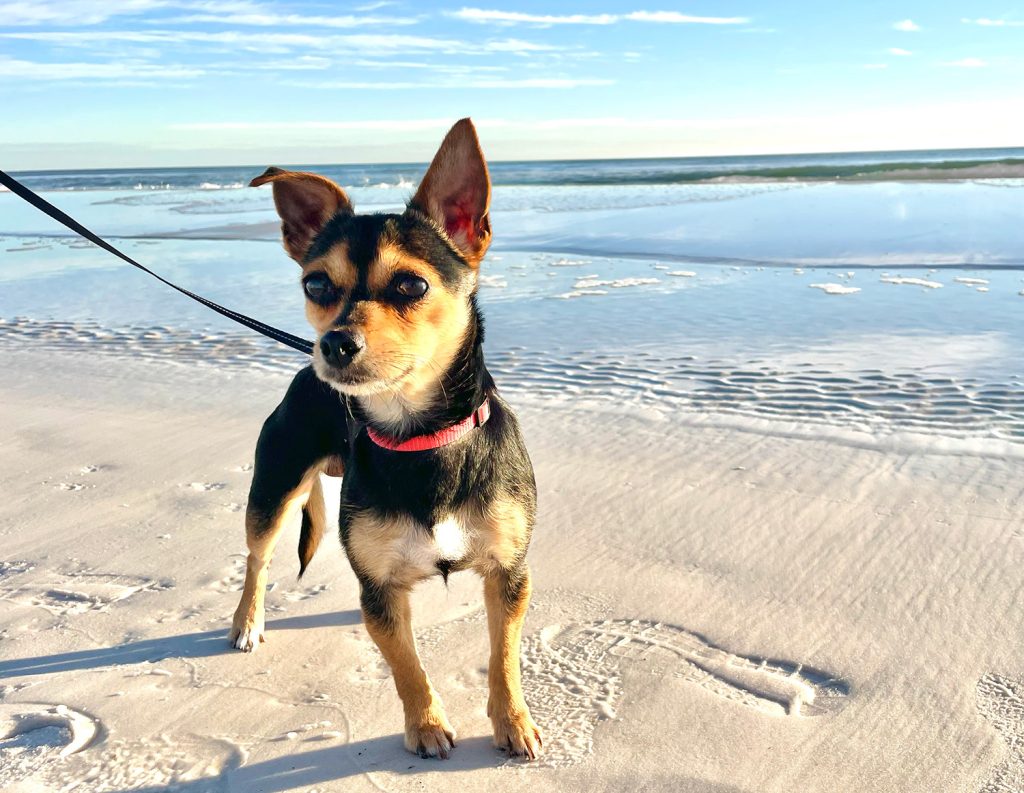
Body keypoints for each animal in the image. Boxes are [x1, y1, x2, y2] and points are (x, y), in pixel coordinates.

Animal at [226, 119, 544, 762]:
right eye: (316, 284)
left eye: (411, 285)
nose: (333, 344)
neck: (420, 437)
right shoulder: (378, 588)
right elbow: (404, 664)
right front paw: (425, 724)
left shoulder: (509, 574)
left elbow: (503, 655)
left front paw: (513, 722)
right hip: (272, 489)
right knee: (258, 557)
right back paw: (248, 623)